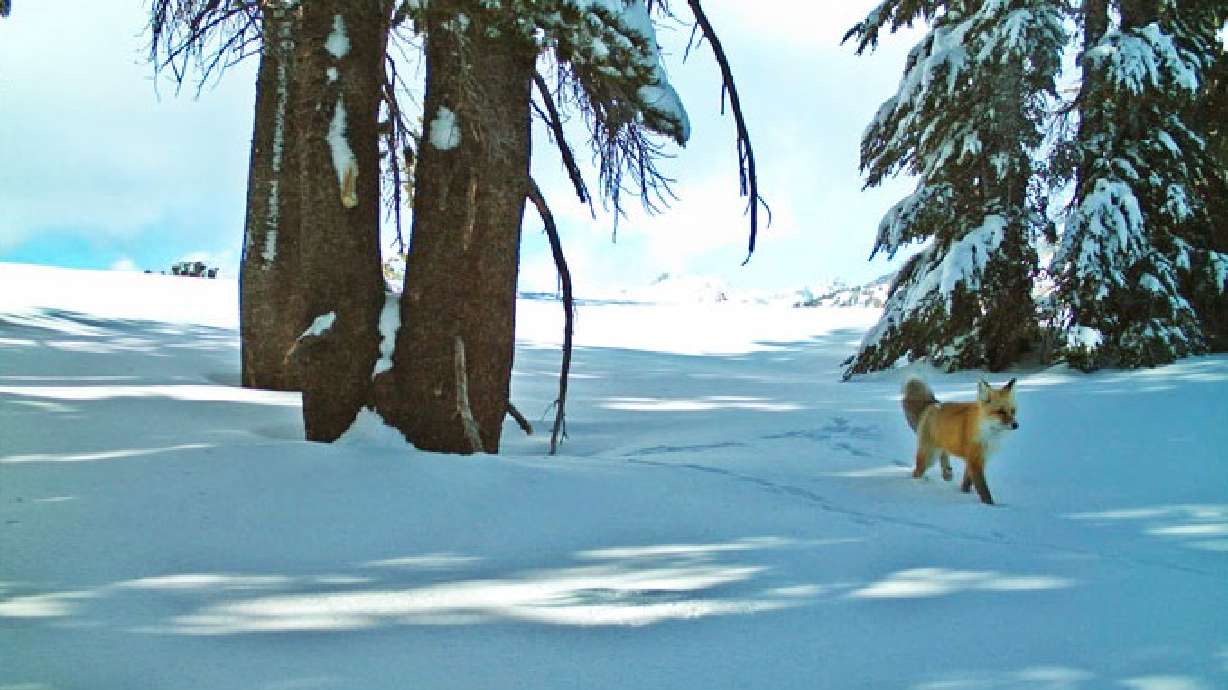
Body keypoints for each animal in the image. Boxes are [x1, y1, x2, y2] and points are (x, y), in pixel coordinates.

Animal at [902, 377, 1018, 505]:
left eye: (1013, 411)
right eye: (1000, 411)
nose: (1016, 425)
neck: (987, 433)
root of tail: (932, 404)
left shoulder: (978, 459)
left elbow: (967, 483)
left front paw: (964, 494)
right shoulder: (974, 460)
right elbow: (984, 490)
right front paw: (991, 506)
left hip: (941, 447)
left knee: (944, 455)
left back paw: (947, 473)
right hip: (929, 457)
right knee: (917, 472)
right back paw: (918, 484)